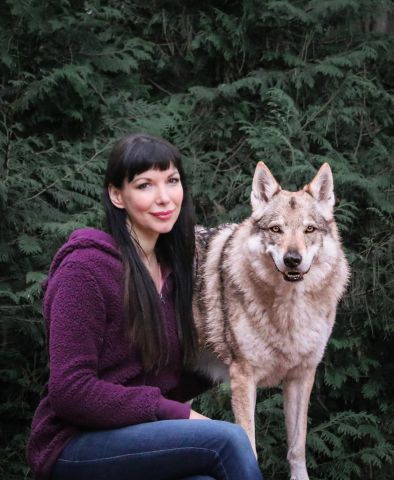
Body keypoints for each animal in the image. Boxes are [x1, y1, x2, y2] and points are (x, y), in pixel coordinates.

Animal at [192, 162, 350, 480]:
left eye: (309, 229)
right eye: (277, 229)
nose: (292, 259)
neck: (289, 311)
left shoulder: (301, 377)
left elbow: (297, 447)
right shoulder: (243, 377)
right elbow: (249, 446)